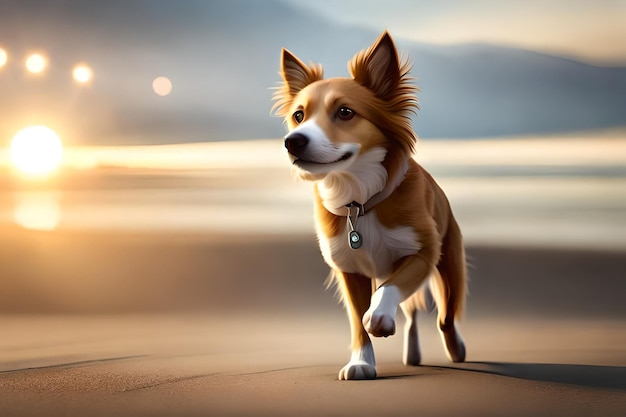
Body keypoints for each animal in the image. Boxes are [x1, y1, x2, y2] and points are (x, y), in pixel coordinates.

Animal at [270, 30, 466, 378]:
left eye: (345, 112)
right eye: (298, 116)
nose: (293, 141)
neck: (359, 201)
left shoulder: (422, 253)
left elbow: (385, 294)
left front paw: (380, 318)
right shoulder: (349, 271)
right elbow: (357, 323)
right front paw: (361, 362)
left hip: (450, 263)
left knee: (446, 316)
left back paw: (456, 350)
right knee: (413, 314)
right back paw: (412, 354)